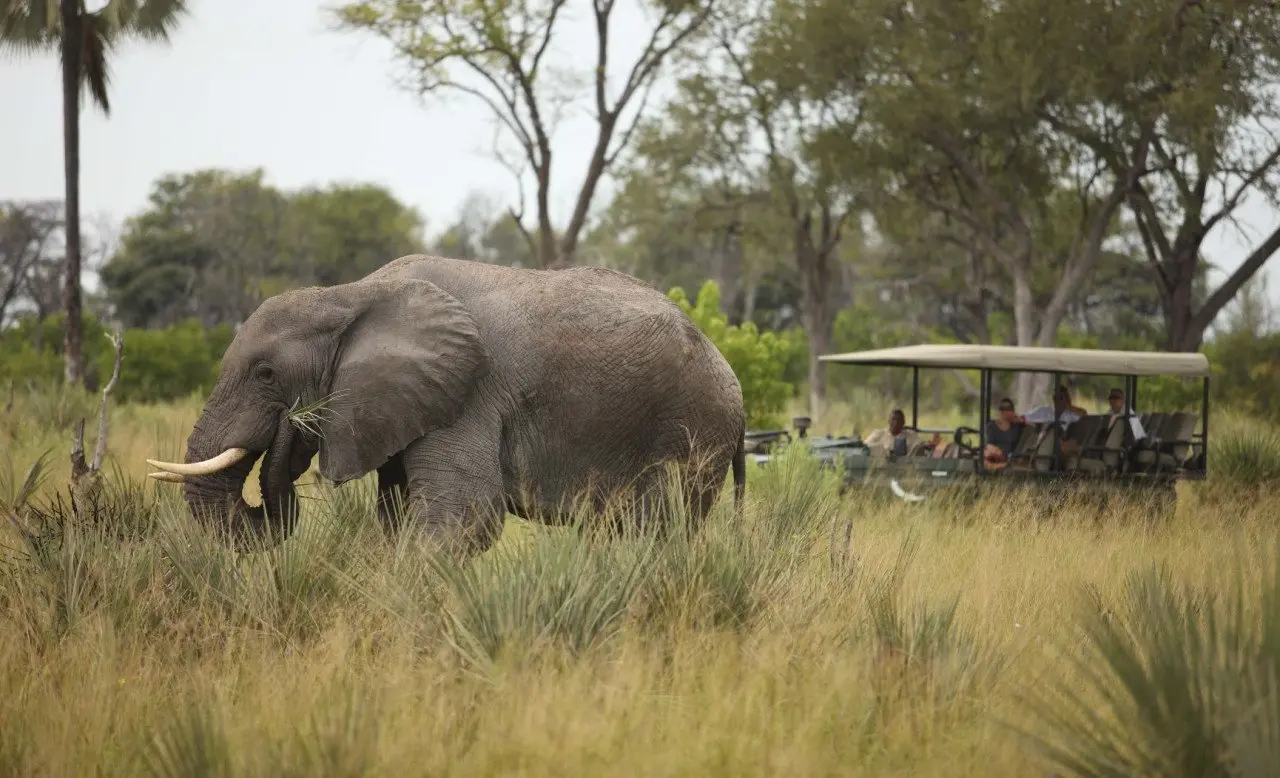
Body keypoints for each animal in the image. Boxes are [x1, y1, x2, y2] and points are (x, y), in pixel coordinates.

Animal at [147, 253, 747, 552]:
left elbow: (466, 517)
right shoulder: (401, 404)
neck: (351, 294)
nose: (290, 433)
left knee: (656, 532)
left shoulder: (469, 392)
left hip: (691, 430)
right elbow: (396, 518)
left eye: (266, 373)